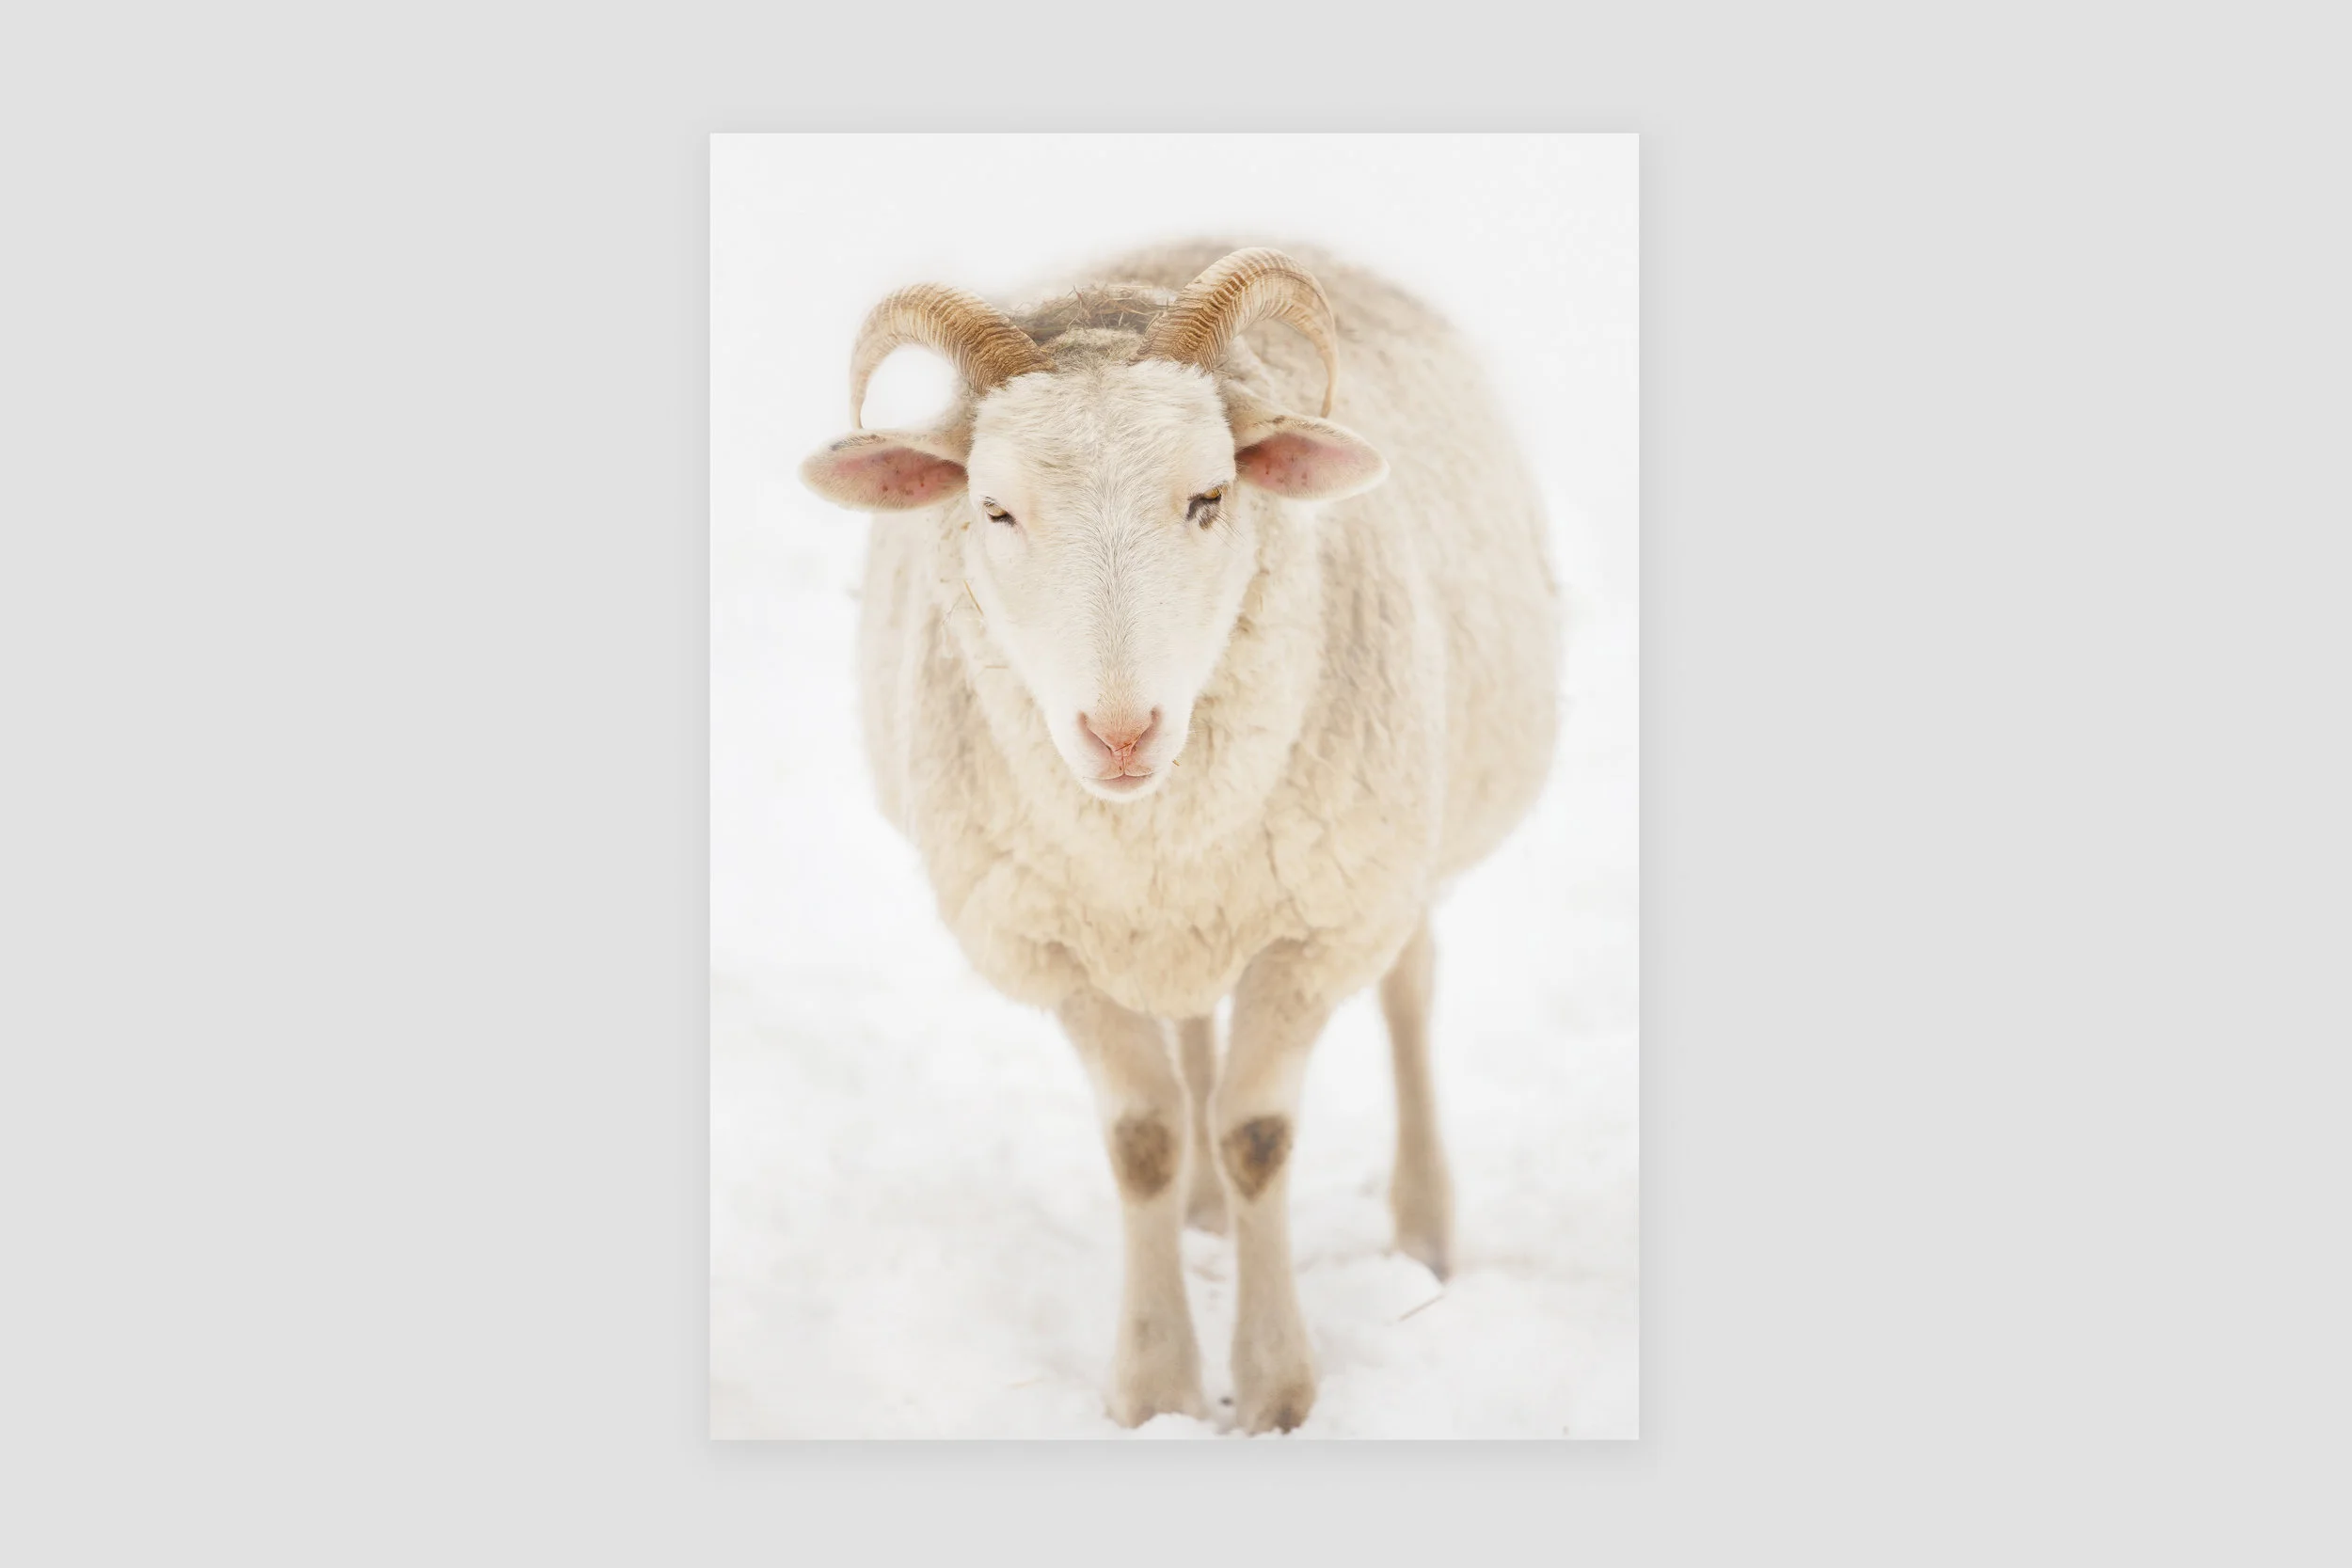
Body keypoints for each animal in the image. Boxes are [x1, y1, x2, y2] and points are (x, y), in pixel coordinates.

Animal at [798, 242, 1561, 1433]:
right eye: (993, 508)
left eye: (1209, 496)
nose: (1121, 732)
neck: (1147, 828)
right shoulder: (1055, 942)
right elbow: (1143, 1140)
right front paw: (1156, 1386)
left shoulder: (1316, 930)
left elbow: (1259, 1135)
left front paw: (1275, 1388)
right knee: (1194, 1025)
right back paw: (1203, 1214)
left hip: (1403, 847)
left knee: (1408, 993)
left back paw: (1422, 1230)